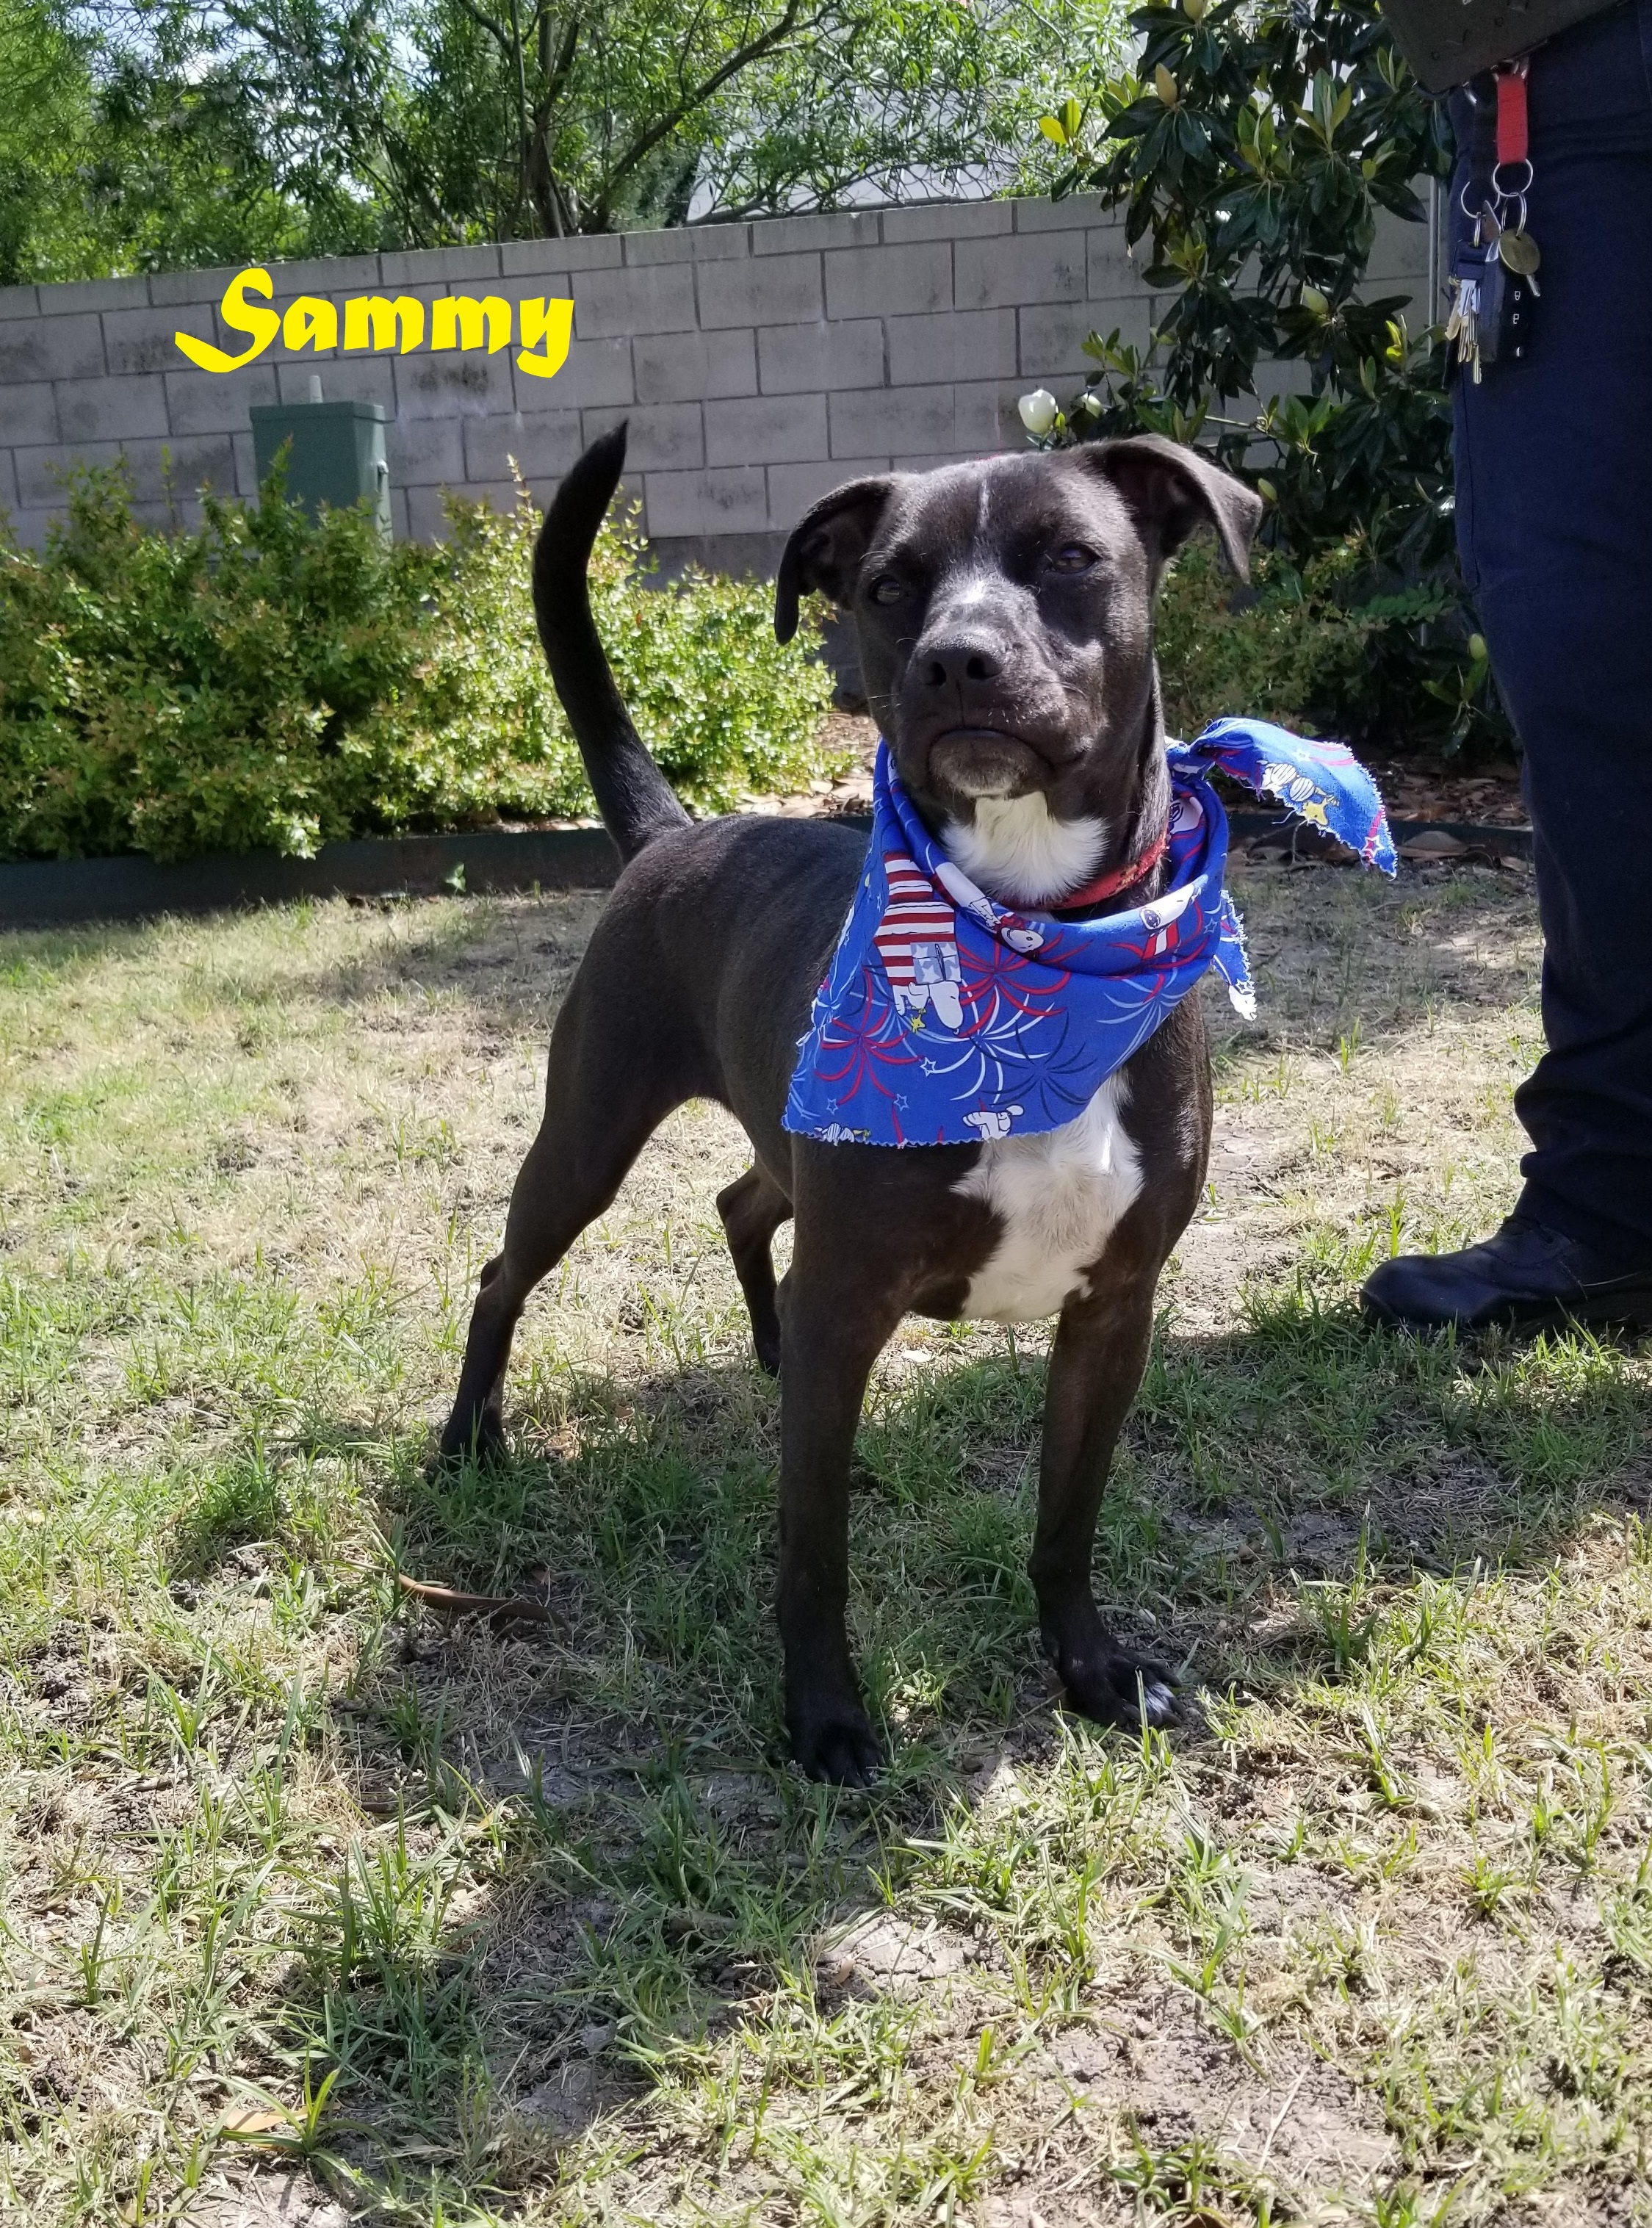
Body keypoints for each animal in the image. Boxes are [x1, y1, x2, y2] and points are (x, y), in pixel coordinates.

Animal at [434, 425, 1264, 1782]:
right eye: (887, 584)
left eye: (1070, 558)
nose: (959, 658)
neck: (1027, 951)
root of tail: (673, 834)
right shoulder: (853, 1289)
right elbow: (810, 1552)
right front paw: (823, 1717)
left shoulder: (1111, 1310)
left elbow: (1066, 1517)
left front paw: (1089, 1670)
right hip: (587, 1138)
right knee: (506, 1271)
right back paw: (470, 1434)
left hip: (776, 1165)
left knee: (741, 1206)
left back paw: (769, 1350)